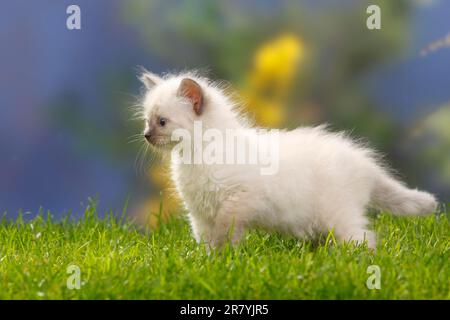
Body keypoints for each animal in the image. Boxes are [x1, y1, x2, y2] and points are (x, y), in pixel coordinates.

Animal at [139, 70, 438, 250]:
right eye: (147, 120)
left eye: (162, 122)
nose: (146, 135)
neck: (196, 154)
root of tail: (364, 163)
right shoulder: (199, 213)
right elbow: (206, 241)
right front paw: (210, 263)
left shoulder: (239, 200)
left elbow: (226, 231)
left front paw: (227, 259)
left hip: (337, 213)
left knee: (364, 239)